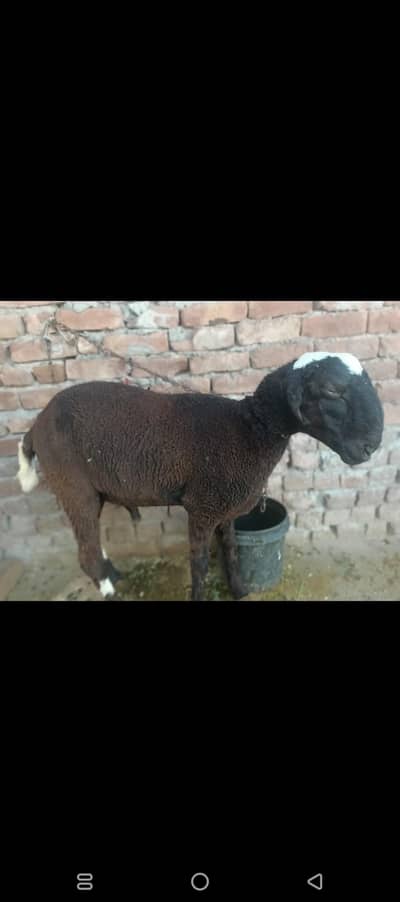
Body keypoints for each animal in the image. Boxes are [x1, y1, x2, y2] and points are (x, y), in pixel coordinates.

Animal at [16, 351, 384, 600]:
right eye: (332, 390)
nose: (371, 446)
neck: (250, 431)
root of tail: (36, 425)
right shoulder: (202, 507)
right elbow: (200, 564)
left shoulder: (228, 508)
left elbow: (232, 552)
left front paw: (240, 591)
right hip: (71, 483)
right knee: (86, 549)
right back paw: (108, 588)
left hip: (91, 489)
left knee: (90, 540)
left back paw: (113, 574)